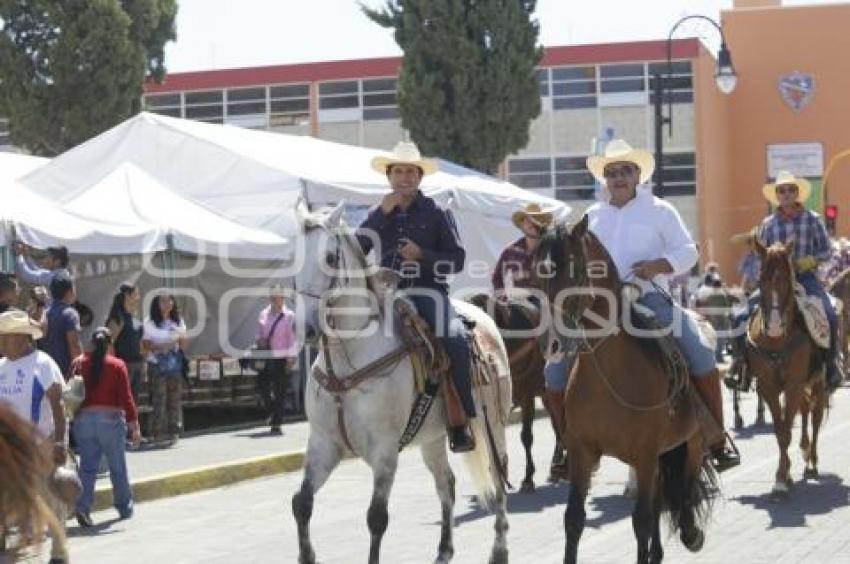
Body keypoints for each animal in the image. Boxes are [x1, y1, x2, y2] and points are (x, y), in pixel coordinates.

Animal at [292, 203, 506, 564]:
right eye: (292, 257)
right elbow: (302, 503)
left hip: (493, 425)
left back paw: (500, 550)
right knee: (446, 484)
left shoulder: (385, 449)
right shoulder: (324, 444)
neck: (349, 361)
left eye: (331, 257)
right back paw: (444, 551)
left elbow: (376, 517)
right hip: (435, 437)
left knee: (499, 480)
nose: (305, 328)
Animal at [536, 217, 716, 564]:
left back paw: (691, 531)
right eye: (537, 272)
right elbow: (574, 519)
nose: (551, 344)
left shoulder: (645, 455)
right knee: (662, 496)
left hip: (692, 441)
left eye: (576, 270)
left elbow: (641, 521)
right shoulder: (582, 452)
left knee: (685, 485)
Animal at [744, 240, 824, 496]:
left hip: (818, 382)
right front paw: (783, 476)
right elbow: (780, 431)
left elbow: (787, 429)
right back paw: (804, 451)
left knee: (816, 417)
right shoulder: (768, 387)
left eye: (787, 279)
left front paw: (783, 475)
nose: (775, 325)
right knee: (806, 411)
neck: (777, 342)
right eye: (761, 279)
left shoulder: (794, 385)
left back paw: (812, 462)